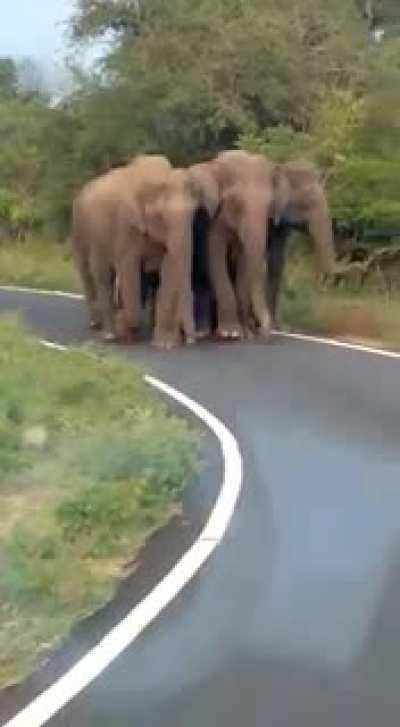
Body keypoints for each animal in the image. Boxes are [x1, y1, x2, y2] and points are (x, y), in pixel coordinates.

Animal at [71, 154, 219, 348]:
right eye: (161, 216)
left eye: (194, 213)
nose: (192, 339)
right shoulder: (126, 224)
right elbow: (128, 268)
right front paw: (126, 331)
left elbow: (169, 268)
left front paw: (164, 344)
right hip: (82, 231)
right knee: (98, 275)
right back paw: (105, 331)